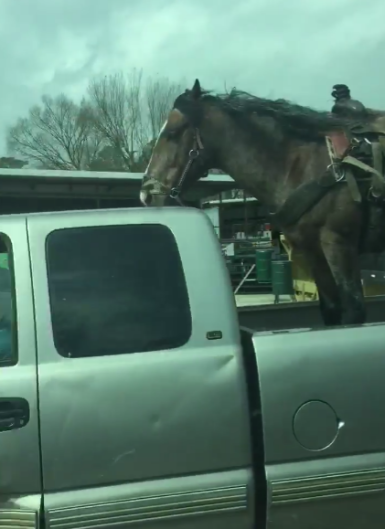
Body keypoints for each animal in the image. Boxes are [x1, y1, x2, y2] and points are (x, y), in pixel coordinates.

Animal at [139, 79, 385, 326]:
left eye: (172, 133)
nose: (146, 194)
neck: (302, 165)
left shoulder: (339, 244)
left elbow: (354, 310)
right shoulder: (312, 249)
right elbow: (331, 309)